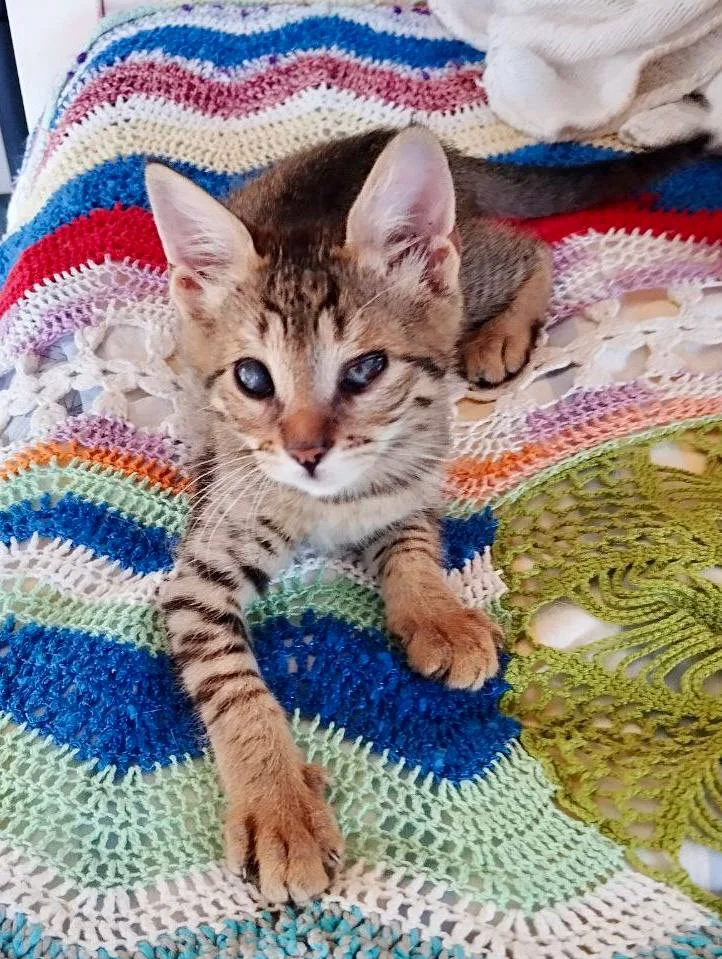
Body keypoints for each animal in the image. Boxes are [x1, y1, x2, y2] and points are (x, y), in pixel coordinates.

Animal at [146, 127, 706, 904]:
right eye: (252, 378)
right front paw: (279, 806)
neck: (331, 504)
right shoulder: (200, 567)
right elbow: (231, 681)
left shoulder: (414, 477)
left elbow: (413, 548)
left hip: (467, 275)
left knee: (528, 248)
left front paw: (437, 614)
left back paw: (498, 336)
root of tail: (379, 134)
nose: (306, 451)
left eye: (365, 369)